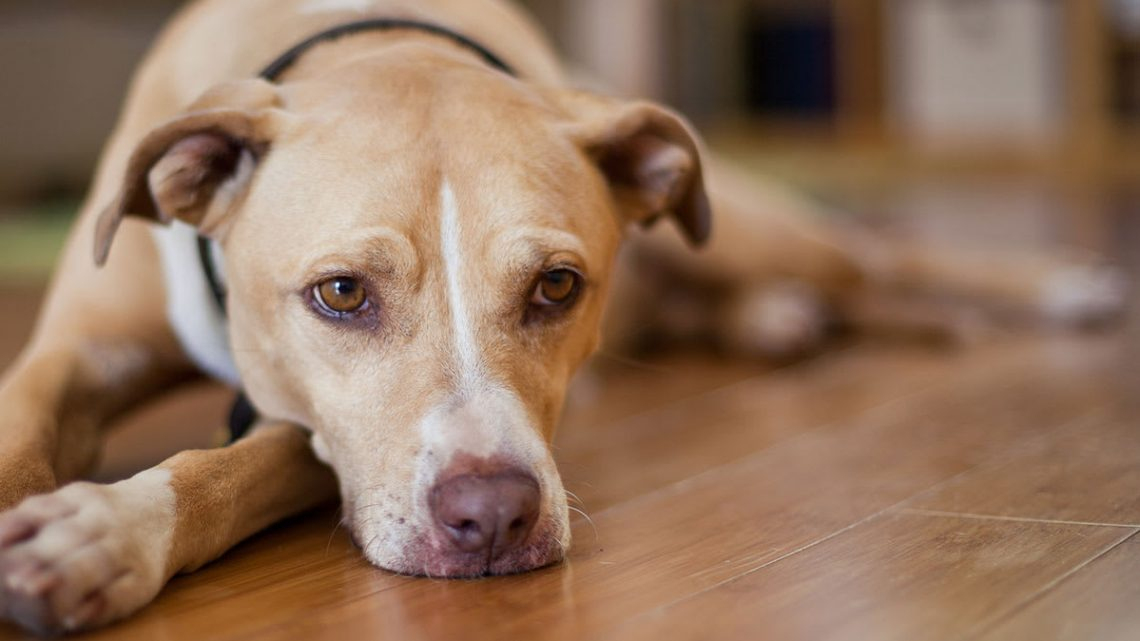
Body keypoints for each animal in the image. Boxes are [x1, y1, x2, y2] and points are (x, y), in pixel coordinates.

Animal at [0, 0, 1126, 629]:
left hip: (759, 225)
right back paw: (780, 321)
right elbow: (21, 427)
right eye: (341, 293)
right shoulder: (75, 354)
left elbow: (224, 468)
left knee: (878, 255)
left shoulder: (314, 433)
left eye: (555, 285)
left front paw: (99, 532)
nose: (493, 516)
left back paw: (1062, 288)